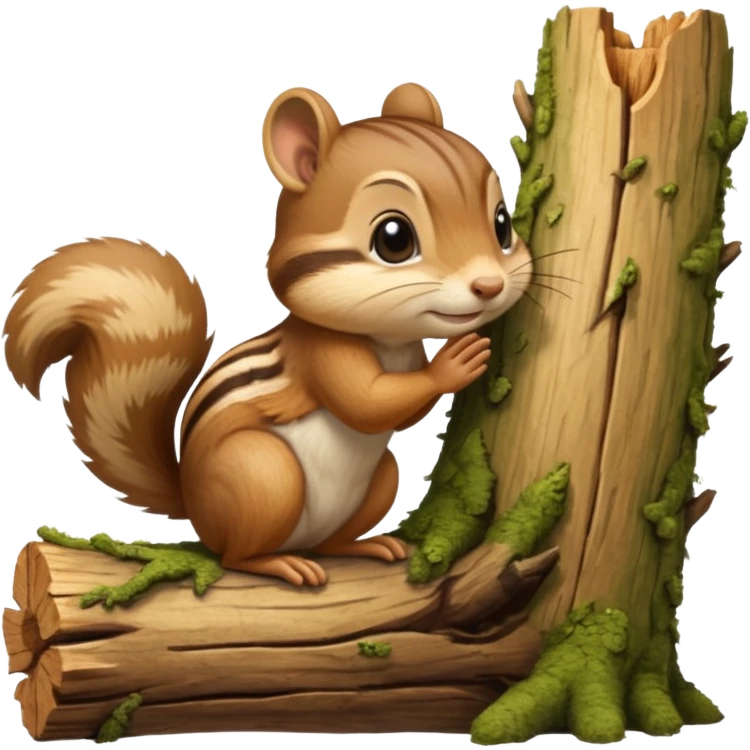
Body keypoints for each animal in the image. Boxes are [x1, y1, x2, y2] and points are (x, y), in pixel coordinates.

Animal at [1, 82, 532, 588]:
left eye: (502, 225)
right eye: (394, 239)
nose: (489, 286)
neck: (388, 340)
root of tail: (194, 506)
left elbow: (389, 409)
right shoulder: (322, 353)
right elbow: (367, 401)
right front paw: (453, 364)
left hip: (379, 477)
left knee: (332, 537)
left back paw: (359, 545)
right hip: (262, 474)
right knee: (236, 555)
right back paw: (276, 563)